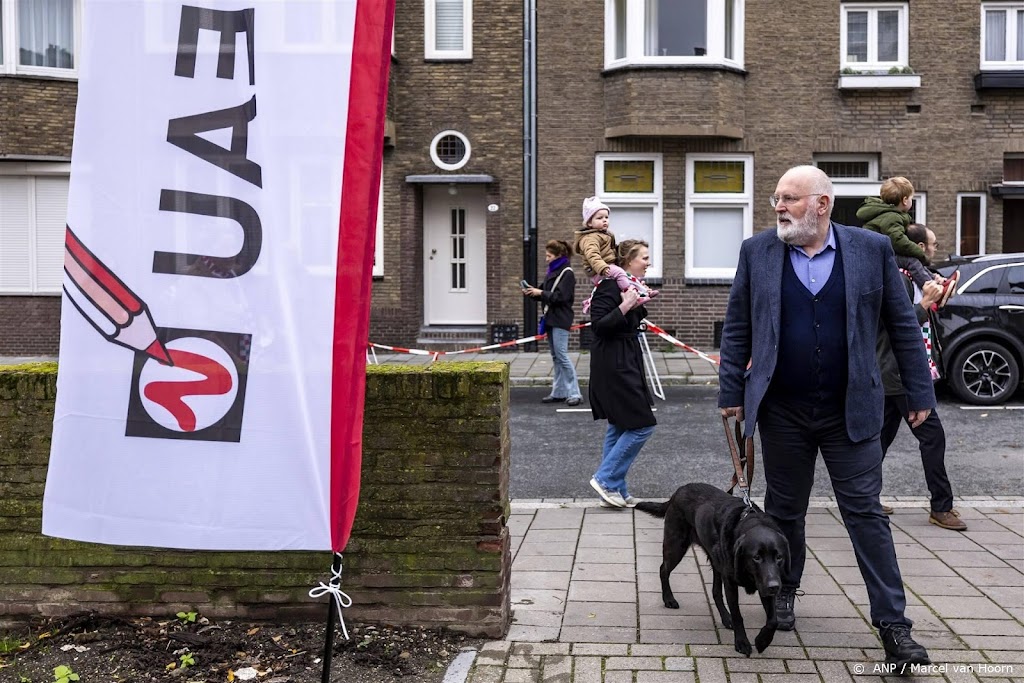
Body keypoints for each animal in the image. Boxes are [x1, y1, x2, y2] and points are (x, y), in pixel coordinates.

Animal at [638, 483, 790, 655]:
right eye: (756, 557)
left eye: (779, 557)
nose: (774, 587)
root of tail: (679, 490)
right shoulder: (732, 583)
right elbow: (738, 615)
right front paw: (742, 642)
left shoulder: (765, 581)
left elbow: (773, 620)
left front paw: (762, 641)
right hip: (676, 546)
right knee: (663, 570)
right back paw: (669, 599)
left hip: (716, 561)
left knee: (715, 591)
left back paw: (725, 617)